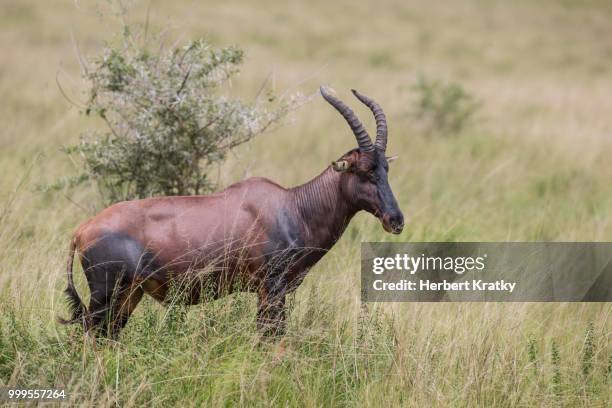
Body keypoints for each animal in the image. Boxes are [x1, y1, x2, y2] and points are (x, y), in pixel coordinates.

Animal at [59, 87, 404, 338]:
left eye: (385, 169)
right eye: (364, 170)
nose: (395, 220)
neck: (293, 206)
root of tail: (81, 231)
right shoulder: (271, 287)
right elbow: (271, 338)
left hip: (129, 295)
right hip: (106, 296)